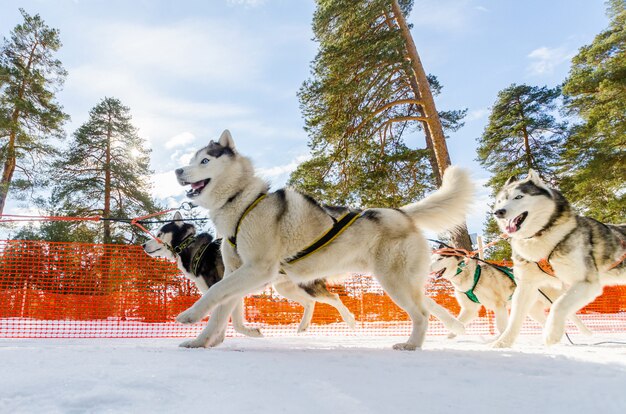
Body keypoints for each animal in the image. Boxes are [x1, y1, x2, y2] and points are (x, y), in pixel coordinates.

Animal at [143, 212, 356, 334]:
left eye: (160, 233)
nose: (143, 245)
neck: (189, 246)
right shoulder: (232, 293)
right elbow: (237, 323)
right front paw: (251, 332)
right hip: (286, 289)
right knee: (310, 303)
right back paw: (303, 327)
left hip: (307, 286)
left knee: (334, 297)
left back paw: (350, 320)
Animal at [171, 129, 468, 350]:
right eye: (192, 159)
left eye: (205, 161)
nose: (177, 171)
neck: (241, 202)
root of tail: (400, 213)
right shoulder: (236, 271)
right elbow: (220, 311)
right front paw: (201, 342)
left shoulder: (257, 269)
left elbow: (215, 292)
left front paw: (190, 315)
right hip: (400, 282)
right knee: (429, 306)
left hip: (394, 282)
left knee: (421, 314)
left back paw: (412, 344)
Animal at [426, 247, 592, 338]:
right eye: (432, 258)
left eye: (440, 258)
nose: (427, 267)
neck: (467, 277)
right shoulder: (470, 309)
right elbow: (459, 321)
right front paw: (452, 334)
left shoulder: (498, 305)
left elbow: (501, 327)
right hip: (533, 311)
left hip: (554, 300)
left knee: (574, 318)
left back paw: (586, 333)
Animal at [490, 170, 620, 348]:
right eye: (499, 201)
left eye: (518, 197)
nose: (499, 212)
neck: (539, 237)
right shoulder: (526, 287)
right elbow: (515, 319)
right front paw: (503, 342)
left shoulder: (586, 283)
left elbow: (559, 306)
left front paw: (552, 334)